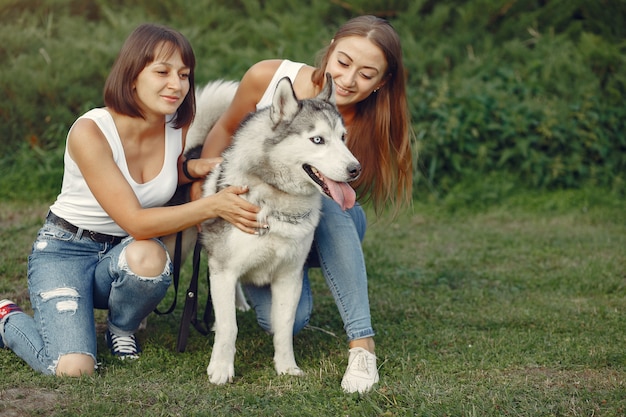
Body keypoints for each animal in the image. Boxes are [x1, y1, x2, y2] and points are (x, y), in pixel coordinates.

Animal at [197, 75, 358, 384]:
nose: (356, 169)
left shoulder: (289, 277)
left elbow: (284, 327)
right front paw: (221, 369)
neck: (277, 203)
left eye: (343, 137)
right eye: (317, 140)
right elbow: (229, 327)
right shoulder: (224, 269)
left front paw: (286, 367)